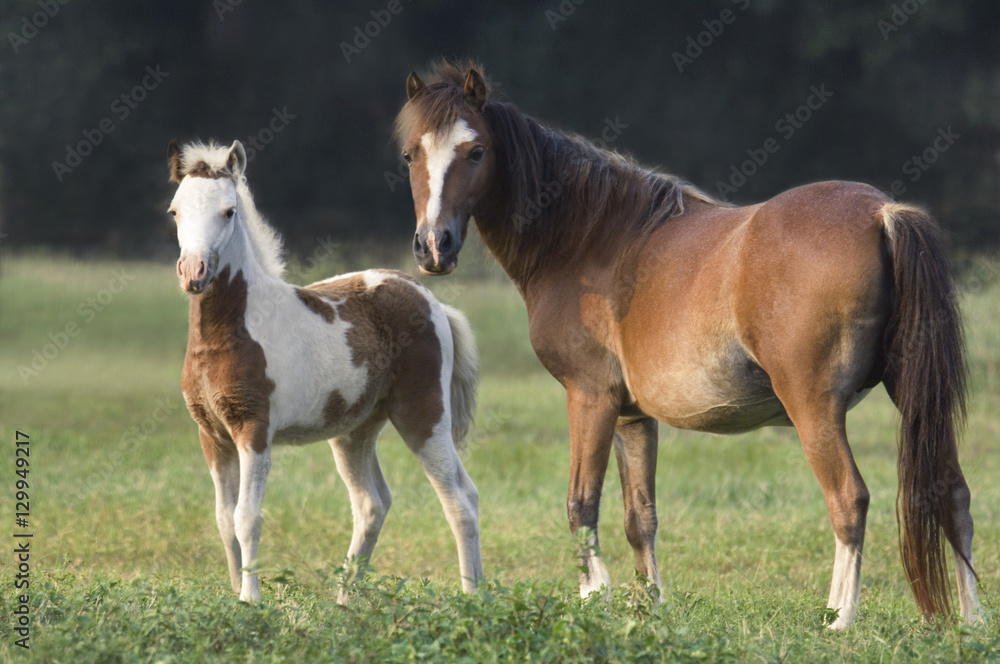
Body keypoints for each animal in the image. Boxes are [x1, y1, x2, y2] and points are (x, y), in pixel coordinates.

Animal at [166, 139, 483, 602]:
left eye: (229, 211)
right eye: (175, 211)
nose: (194, 272)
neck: (233, 330)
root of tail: (431, 299)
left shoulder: (253, 430)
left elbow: (248, 517)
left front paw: (250, 599)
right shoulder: (212, 435)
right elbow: (224, 520)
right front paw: (234, 593)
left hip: (424, 416)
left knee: (458, 500)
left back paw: (473, 598)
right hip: (356, 431)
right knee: (373, 504)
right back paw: (345, 600)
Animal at [393, 61, 982, 629]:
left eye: (475, 151)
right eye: (410, 154)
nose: (434, 246)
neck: (590, 238)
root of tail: (883, 214)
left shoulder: (590, 397)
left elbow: (581, 506)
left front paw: (594, 601)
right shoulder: (633, 416)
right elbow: (640, 517)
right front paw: (650, 607)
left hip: (814, 407)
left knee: (848, 500)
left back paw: (839, 620)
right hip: (909, 392)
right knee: (952, 493)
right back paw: (971, 620)